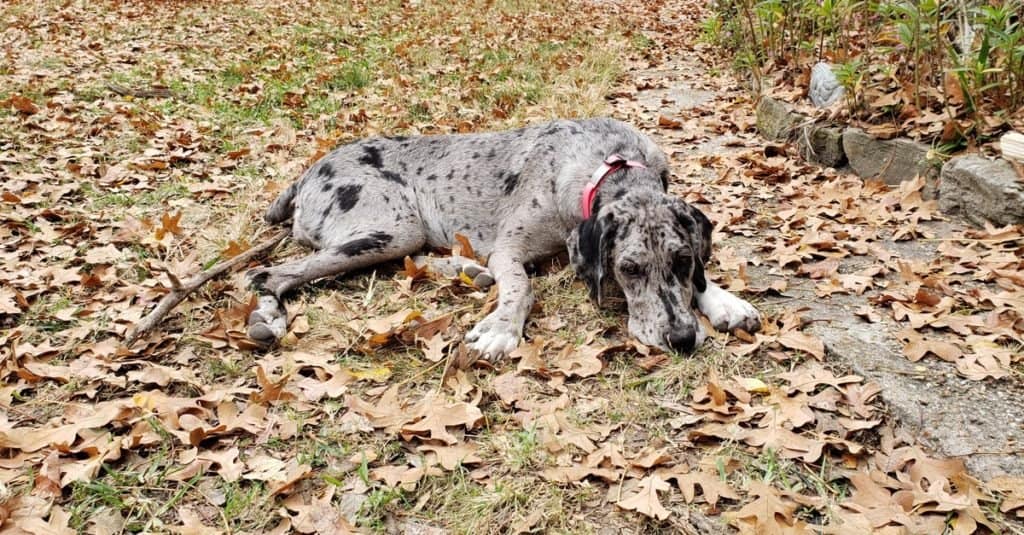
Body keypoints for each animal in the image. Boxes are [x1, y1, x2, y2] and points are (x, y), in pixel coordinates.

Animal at [245, 117, 761, 358]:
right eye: (628, 269)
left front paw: (724, 301)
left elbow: (701, 278)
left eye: (681, 261)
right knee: (267, 272)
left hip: (398, 235)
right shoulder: (509, 249)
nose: (681, 339)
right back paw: (267, 317)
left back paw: (467, 270)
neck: (608, 164)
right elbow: (522, 288)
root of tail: (307, 172)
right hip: (393, 227)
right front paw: (500, 327)